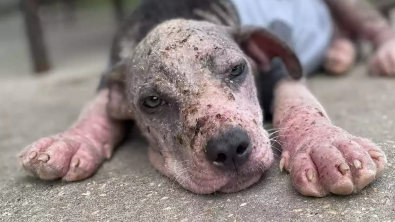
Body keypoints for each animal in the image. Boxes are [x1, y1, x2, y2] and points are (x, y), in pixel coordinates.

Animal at [18, 0, 390, 198]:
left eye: (237, 69)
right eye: (152, 101)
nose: (229, 148)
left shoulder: (281, 71)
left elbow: (299, 104)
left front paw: (325, 145)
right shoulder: (111, 75)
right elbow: (96, 107)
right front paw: (72, 141)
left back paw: (384, 53)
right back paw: (339, 52)